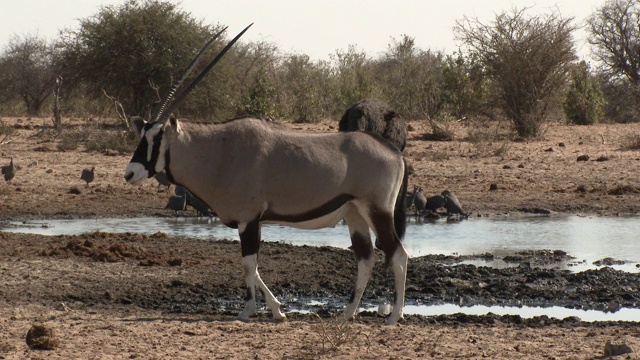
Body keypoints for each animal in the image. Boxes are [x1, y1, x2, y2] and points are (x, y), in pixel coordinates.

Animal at [121, 23, 410, 324]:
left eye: (156, 138)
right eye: (142, 135)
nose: (130, 173)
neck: (220, 150)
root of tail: (394, 152)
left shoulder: (248, 220)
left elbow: (249, 264)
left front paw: (248, 310)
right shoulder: (251, 222)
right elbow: (254, 266)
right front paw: (278, 309)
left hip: (377, 211)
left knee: (398, 255)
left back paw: (394, 316)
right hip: (354, 214)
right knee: (366, 258)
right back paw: (347, 314)